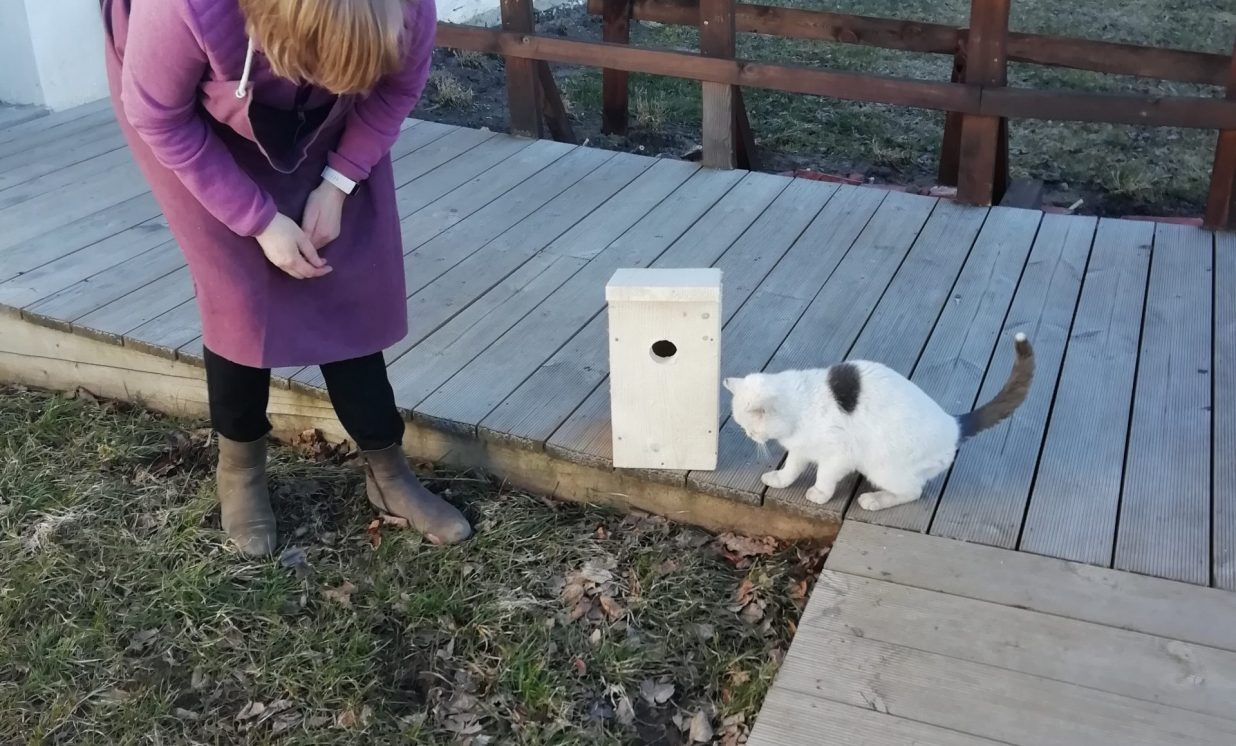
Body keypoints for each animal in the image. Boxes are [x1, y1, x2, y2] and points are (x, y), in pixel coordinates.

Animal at [723, 334, 1034, 511]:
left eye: (750, 428)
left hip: (882, 466)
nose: (750, 436)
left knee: (913, 491)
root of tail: (954, 424)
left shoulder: (838, 455)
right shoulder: (801, 448)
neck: (799, 408)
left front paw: (820, 494)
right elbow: (791, 468)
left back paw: (873, 500)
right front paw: (779, 479)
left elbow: (825, 475)